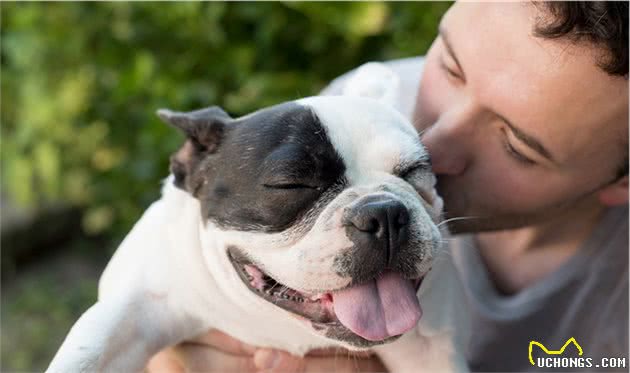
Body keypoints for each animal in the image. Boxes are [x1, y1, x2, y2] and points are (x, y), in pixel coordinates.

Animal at [48, 62, 470, 370]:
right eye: (290, 184)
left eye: (414, 172)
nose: (382, 212)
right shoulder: (139, 304)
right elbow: (92, 348)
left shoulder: (429, 348)